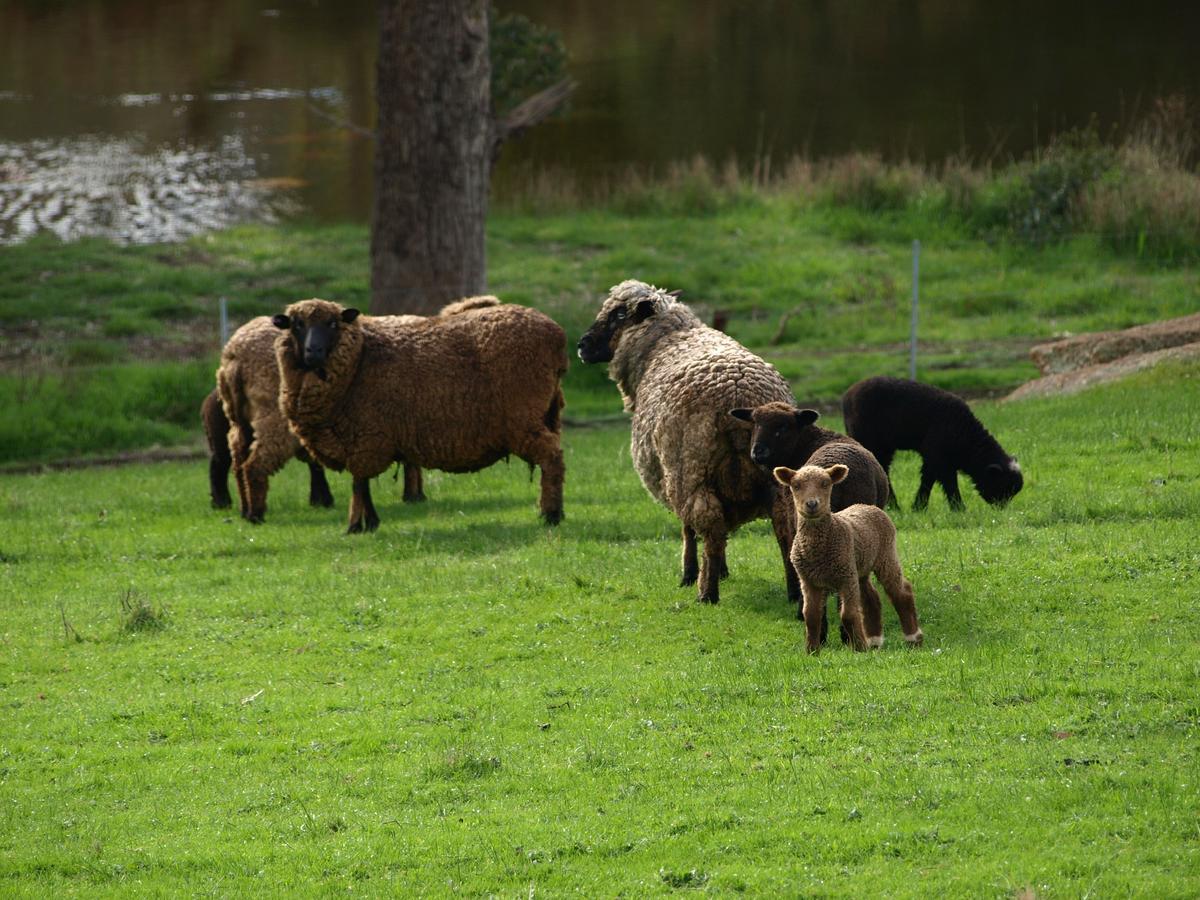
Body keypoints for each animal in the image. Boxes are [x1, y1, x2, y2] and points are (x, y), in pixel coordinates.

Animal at [274, 296, 568, 535]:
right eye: (296, 325)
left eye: (333, 324)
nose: (313, 352)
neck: (358, 361)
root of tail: (556, 335)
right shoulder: (363, 440)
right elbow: (362, 484)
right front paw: (366, 524)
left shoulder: (366, 436)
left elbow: (358, 484)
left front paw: (358, 525)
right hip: (545, 415)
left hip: (522, 418)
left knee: (551, 457)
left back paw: (551, 515)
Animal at [772, 465, 921, 657]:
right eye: (796, 485)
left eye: (825, 483)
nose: (812, 504)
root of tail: (867, 506)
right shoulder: (809, 580)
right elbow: (811, 615)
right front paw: (812, 651)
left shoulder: (846, 577)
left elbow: (848, 614)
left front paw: (859, 648)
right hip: (859, 566)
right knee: (871, 597)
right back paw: (875, 641)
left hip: (885, 556)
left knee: (902, 592)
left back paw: (913, 638)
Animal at [844, 374, 1022, 513]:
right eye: (1003, 487)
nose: (1001, 509)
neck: (967, 441)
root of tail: (848, 395)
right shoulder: (938, 454)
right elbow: (948, 482)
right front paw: (959, 508)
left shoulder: (934, 456)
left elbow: (928, 478)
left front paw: (919, 507)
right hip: (870, 440)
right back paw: (892, 506)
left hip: (885, 446)